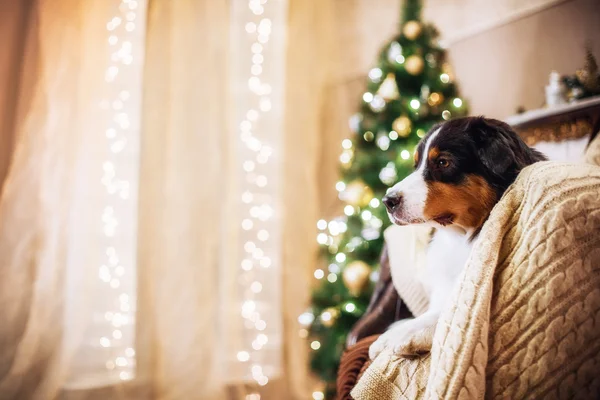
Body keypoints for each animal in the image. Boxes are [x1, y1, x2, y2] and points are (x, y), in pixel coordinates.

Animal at [368, 115, 548, 360]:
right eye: (416, 165)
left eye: (443, 162)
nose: (388, 201)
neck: (461, 237)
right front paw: (389, 335)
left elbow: (452, 316)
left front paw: (409, 336)